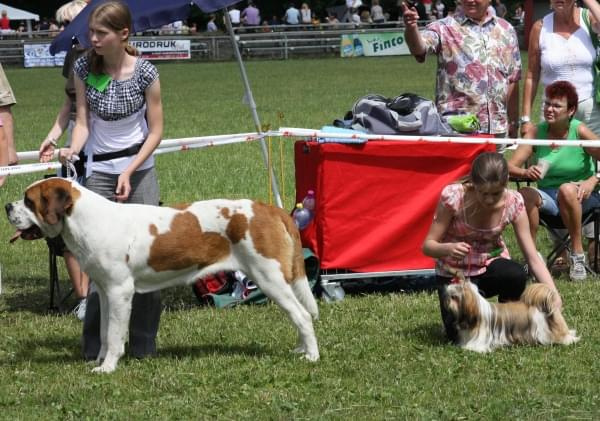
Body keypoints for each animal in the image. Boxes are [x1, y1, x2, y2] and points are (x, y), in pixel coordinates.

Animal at [4, 177, 322, 370]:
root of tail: (269, 209)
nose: (7, 206)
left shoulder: (120, 292)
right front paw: (99, 360)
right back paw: (300, 349)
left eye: (29, 200)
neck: (87, 219)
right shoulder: (106, 292)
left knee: (302, 315)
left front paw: (107, 368)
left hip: (269, 277)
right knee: (297, 314)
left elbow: (115, 334)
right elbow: (105, 332)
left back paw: (312, 356)